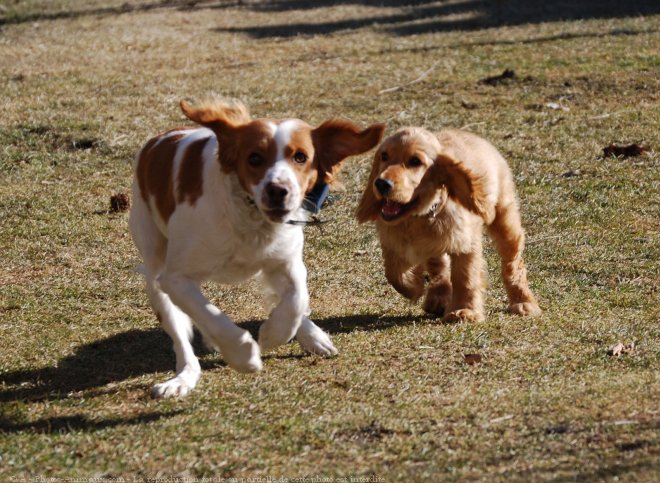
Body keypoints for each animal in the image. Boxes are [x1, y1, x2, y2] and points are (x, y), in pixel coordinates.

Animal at [129, 100, 384, 398]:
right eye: (254, 158)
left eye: (300, 157)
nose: (277, 190)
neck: (250, 217)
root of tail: (156, 141)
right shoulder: (176, 278)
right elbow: (211, 315)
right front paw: (244, 355)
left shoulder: (285, 261)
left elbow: (297, 300)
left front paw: (273, 334)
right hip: (154, 266)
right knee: (181, 336)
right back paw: (183, 378)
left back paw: (313, 337)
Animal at [356, 126, 540, 324]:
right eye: (384, 156)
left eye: (415, 161)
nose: (381, 183)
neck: (421, 216)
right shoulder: (392, 243)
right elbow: (393, 273)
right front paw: (414, 286)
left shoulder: (466, 244)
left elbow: (465, 277)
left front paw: (464, 311)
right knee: (439, 266)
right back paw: (438, 298)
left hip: (505, 219)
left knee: (513, 263)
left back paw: (523, 302)